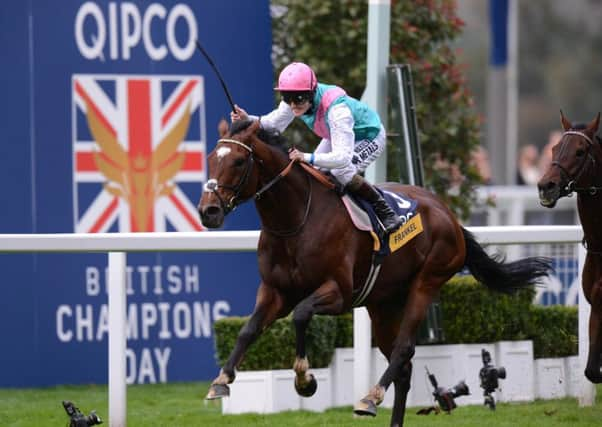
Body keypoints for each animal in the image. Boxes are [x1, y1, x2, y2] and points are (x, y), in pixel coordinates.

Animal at [199, 118, 552, 426]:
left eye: (239, 161)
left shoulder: (338, 292)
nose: (208, 211)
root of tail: (449, 216)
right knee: (404, 369)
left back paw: (370, 398)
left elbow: (300, 315)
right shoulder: (275, 291)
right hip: (383, 304)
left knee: (403, 350)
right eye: (212, 159)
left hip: (427, 280)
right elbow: (249, 329)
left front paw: (305, 380)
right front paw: (221, 380)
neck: (296, 220)